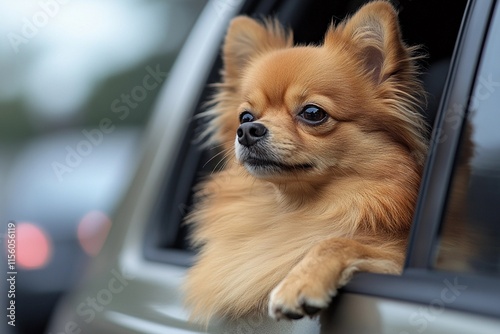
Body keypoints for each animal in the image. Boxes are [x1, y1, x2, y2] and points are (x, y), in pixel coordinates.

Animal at [186, 0, 428, 324]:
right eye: (245, 117)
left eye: (313, 113)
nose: (247, 131)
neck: (296, 208)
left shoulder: (398, 255)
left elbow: (336, 241)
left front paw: (301, 282)